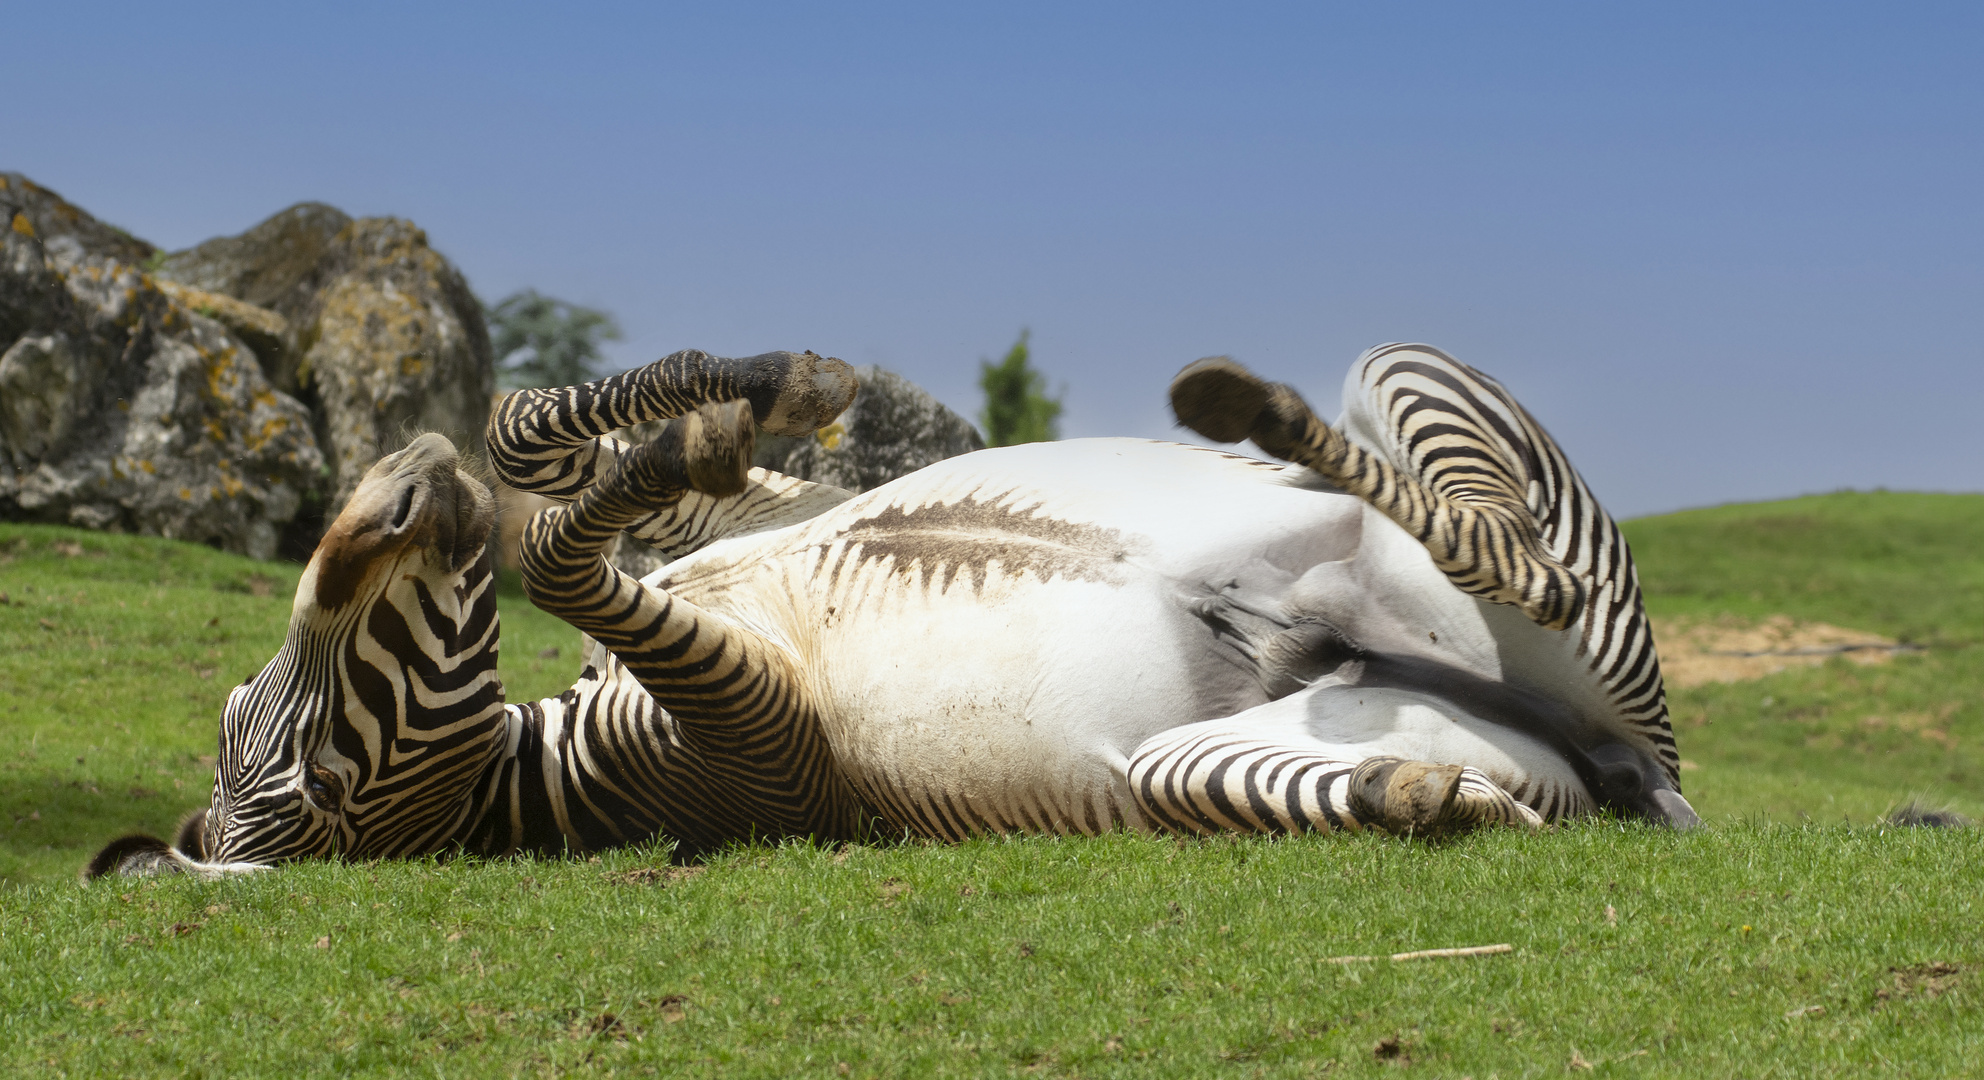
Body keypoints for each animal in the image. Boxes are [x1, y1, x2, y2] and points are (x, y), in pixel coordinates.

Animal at [93, 345, 1698, 877]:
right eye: (313, 784)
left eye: (246, 703)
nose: (391, 491)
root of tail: (1634, 773)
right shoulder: (768, 747)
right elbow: (549, 548)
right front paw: (672, 435)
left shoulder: (752, 517)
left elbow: (532, 438)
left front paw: (747, 383)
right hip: (1191, 769)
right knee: (1529, 594)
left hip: (1407, 404)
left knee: (1492, 554)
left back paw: (1261, 432)